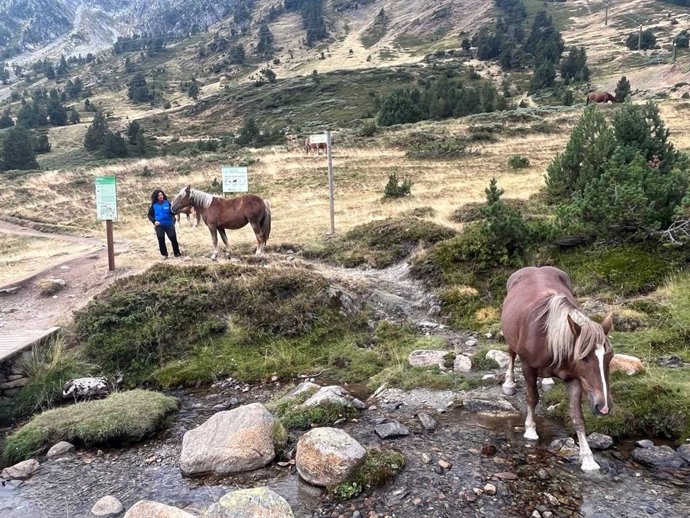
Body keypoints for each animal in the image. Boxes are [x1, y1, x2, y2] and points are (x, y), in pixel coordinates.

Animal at [500, 266, 612, 474]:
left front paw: (588, 459)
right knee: (511, 354)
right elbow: (532, 398)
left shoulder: (574, 379)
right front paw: (530, 430)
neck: (548, 337)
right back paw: (509, 383)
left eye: (610, 357)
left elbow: (577, 417)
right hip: (511, 338)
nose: (604, 406)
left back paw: (547, 381)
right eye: (584, 358)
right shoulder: (528, 367)